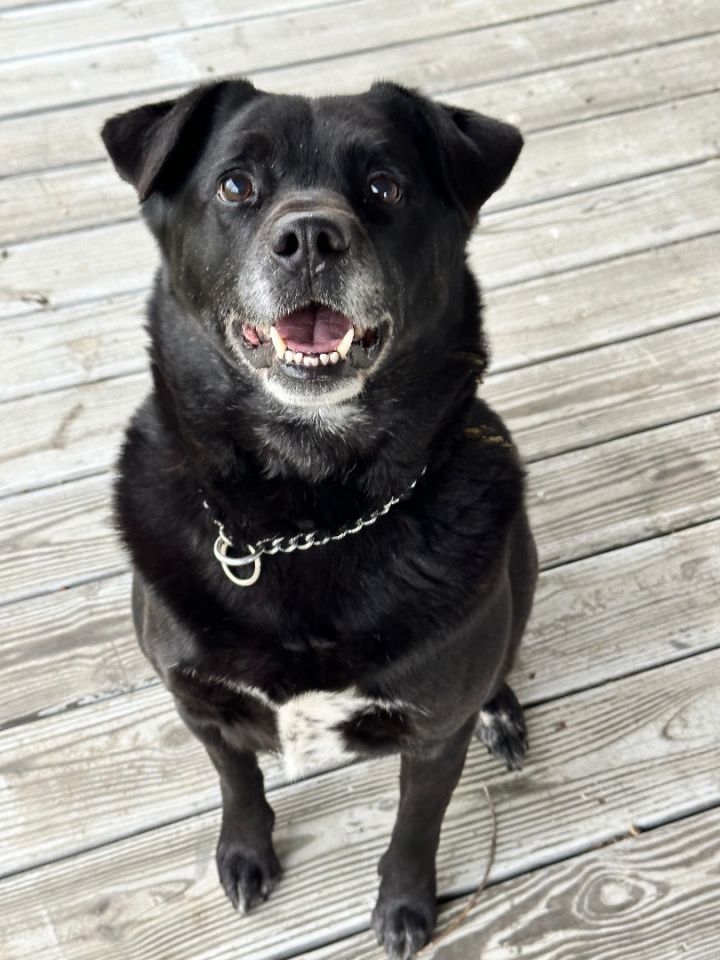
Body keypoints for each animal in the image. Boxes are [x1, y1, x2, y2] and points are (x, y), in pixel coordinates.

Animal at [104, 79, 536, 956]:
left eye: (384, 189)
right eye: (236, 184)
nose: (309, 237)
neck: (303, 512)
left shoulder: (433, 733)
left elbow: (415, 828)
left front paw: (405, 906)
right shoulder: (198, 704)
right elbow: (238, 782)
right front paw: (245, 852)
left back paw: (502, 710)